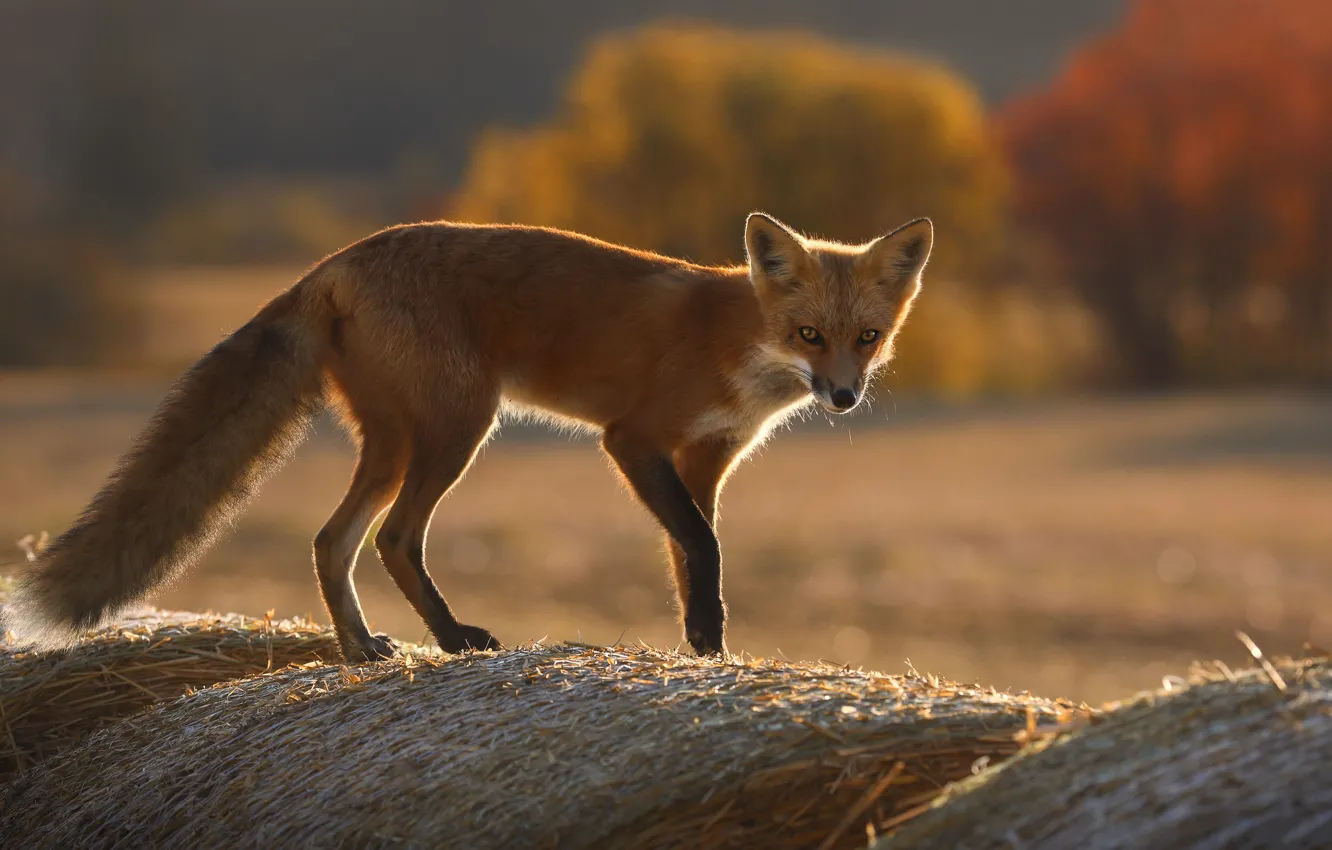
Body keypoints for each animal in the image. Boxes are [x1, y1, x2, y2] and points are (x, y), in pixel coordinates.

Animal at [7, 212, 932, 662]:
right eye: (810, 335)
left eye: (867, 338)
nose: (843, 397)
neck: (737, 340)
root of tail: (333, 262)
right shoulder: (633, 440)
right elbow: (701, 547)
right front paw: (707, 640)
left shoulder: (704, 461)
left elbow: (691, 554)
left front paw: (706, 644)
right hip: (457, 427)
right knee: (392, 539)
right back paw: (451, 640)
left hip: (392, 441)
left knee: (331, 540)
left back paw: (362, 649)